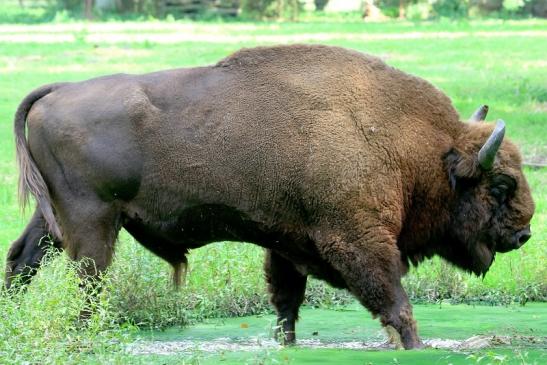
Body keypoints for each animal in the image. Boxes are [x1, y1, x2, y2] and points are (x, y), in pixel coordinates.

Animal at [4, 44, 536, 348]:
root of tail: (60, 89)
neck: (404, 141)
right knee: (87, 285)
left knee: (22, 259)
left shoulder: (288, 244)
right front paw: (414, 347)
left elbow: (286, 308)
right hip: (93, 223)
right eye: (500, 185)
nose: (524, 233)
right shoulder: (359, 242)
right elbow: (396, 306)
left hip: (53, 220)